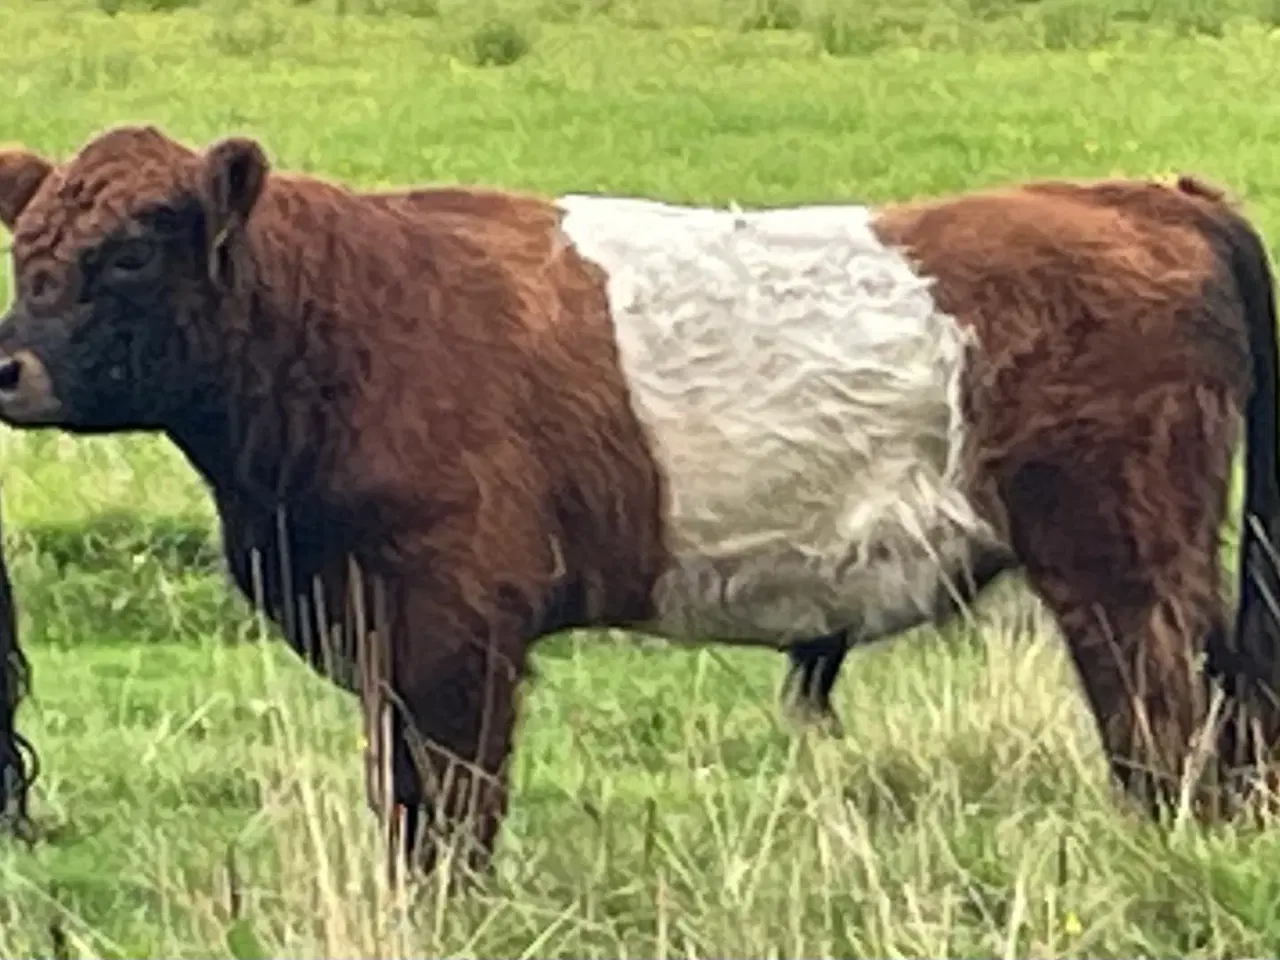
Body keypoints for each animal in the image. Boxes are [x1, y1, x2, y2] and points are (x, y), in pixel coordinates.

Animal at [2, 128, 1280, 880]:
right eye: (26, 250)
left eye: (129, 254)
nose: (7, 366)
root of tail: (1148, 196)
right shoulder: (381, 633)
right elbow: (404, 800)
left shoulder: (454, 626)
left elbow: (451, 812)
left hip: (1121, 570)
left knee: (1163, 735)